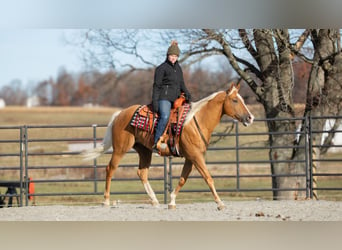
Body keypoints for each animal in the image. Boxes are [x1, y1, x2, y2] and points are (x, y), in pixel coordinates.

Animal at [82, 83, 254, 210]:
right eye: (235, 100)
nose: (250, 117)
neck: (197, 120)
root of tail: (120, 114)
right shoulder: (196, 156)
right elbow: (208, 178)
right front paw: (220, 203)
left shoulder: (191, 158)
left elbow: (183, 179)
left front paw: (171, 201)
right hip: (120, 149)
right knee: (110, 169)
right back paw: (106, 200)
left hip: (144, 151)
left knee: (142, 173)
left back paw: (154, 200)